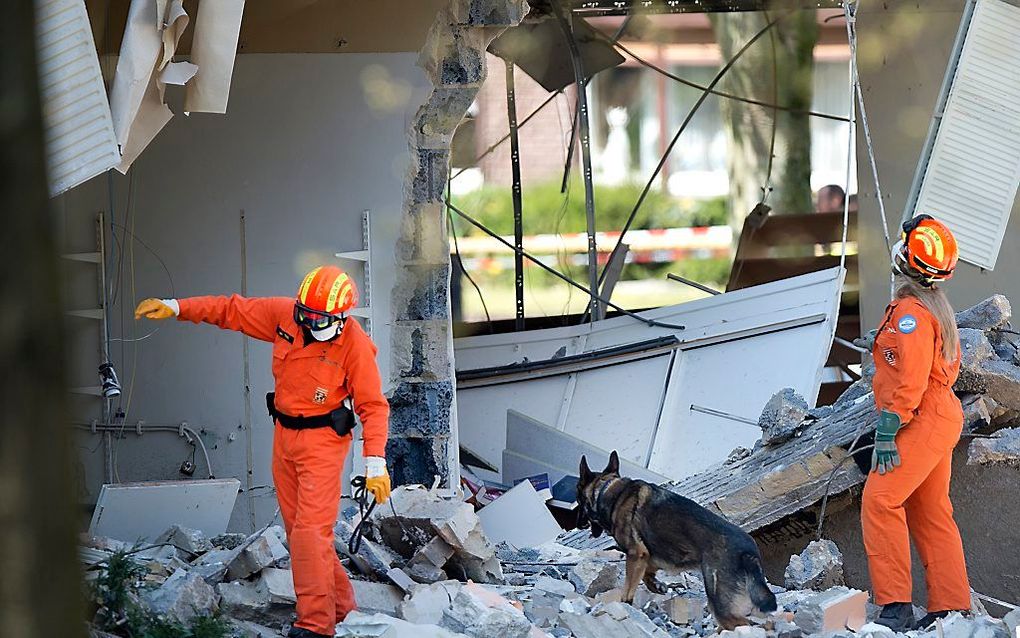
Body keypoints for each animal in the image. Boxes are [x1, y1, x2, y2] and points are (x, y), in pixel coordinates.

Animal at [579, 451, 775, 628]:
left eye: (578, 499)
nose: (578, 523)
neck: (606, 489)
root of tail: (750, 552)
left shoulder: (636, 554)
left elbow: (628, 590)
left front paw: (625, 604)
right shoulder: (652, 556)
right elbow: (647, 574)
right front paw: (657, 586)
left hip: (720, 603)